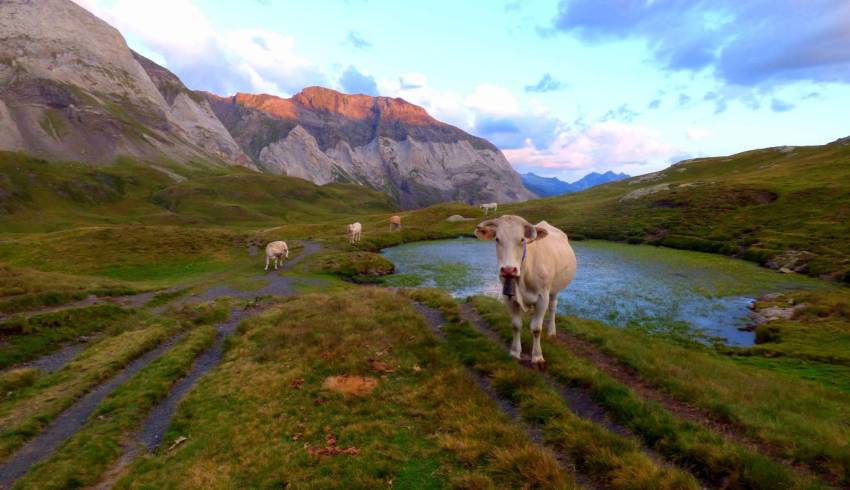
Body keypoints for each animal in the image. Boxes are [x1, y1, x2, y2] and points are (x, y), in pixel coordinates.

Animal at [470, 215, 576, 368]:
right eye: (497, 239)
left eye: (522, 239)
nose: (508, 270)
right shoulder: (508, 297)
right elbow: (516, 325)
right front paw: (515, 352)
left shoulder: (542, 297)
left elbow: (536, 328)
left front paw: (537, 357)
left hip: (554, 289)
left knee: (552, 308)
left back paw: (551, 331)